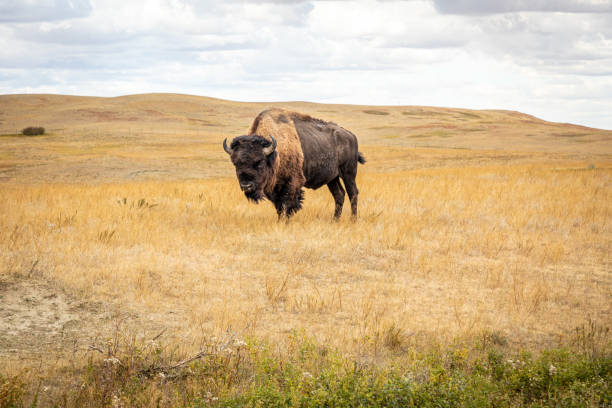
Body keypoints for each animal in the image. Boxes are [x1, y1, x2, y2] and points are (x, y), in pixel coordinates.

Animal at [226, 107, 366, 218]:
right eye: (235, 163)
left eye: (259, 162)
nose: (246, 186)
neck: (275, 152)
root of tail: (351, 135)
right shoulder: (275, 188)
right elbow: (279, 207)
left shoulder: (293, 182)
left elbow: (288, 205)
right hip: (332, 178)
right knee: (339, 195)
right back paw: (335, 220)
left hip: (348, 173)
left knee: (353, 193)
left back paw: (352, 219)